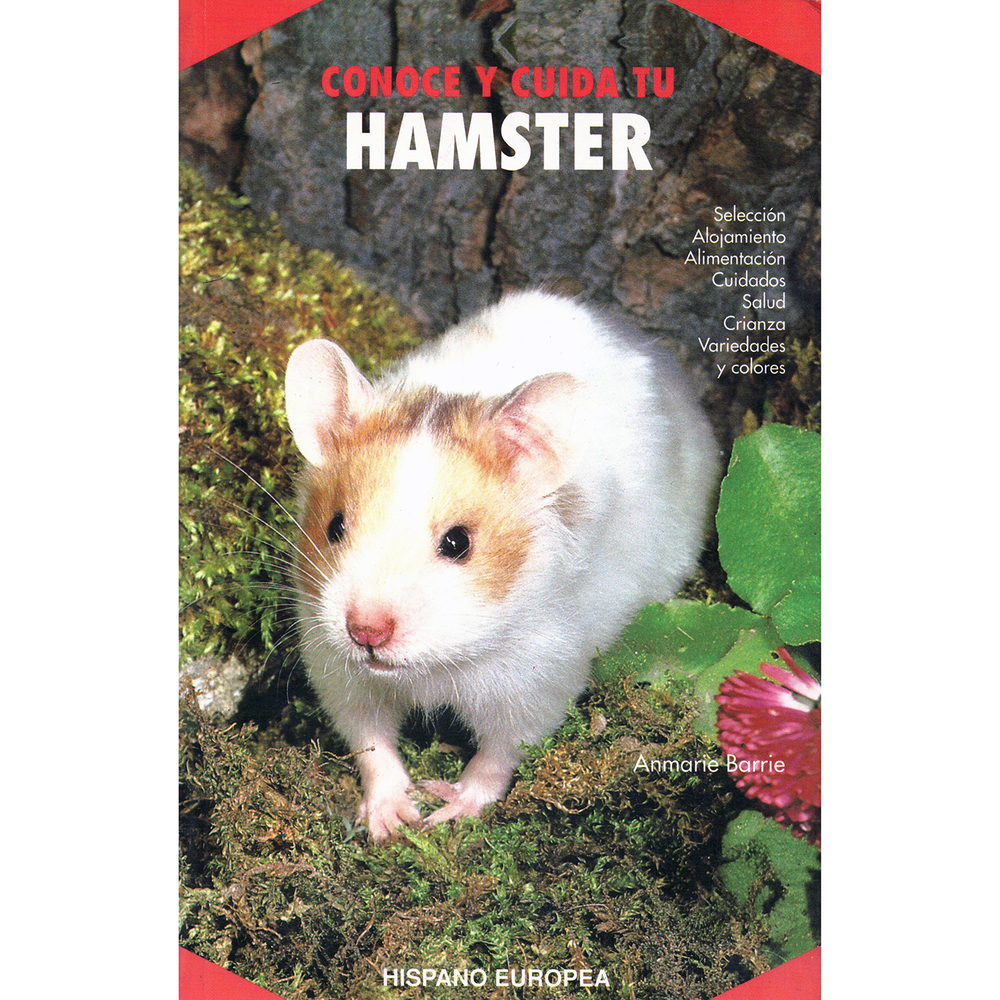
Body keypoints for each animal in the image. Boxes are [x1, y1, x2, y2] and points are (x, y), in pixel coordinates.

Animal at [284, 290, 719, 841]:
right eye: (335, 526)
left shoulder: (538, 677)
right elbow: (371, 742)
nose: (366, 632)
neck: (433, 666)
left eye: (458, 542)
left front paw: (447, 811)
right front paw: (393, 822)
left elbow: (498, 755)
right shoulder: (336, 668)